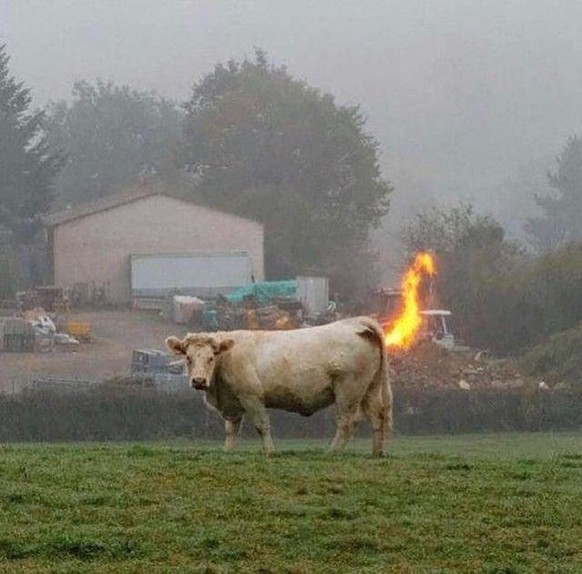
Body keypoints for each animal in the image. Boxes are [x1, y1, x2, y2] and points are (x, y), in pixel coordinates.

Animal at [165, 316, 392, 456]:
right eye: (188, 358)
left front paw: (270, 452)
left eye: (211, 358)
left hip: (349, 390)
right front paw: (227, 451)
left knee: (347, 422)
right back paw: (376, 453)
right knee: (377, 417)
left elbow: (261, 425)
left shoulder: (252, 397)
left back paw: (332, 452)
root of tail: (356, 323)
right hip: (370, 388)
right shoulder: (233, 402)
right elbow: (231, 430)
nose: (199, 381)